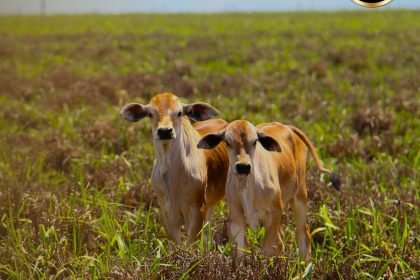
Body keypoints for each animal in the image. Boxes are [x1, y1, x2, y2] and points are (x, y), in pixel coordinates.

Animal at [198, 120, 342, 258]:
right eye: (227, 142)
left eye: (255, 141)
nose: (243, 167)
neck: (248, 187)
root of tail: (285, 126)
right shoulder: (236, 217)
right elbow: (242, 250)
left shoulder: (274, 213)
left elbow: (269, 249)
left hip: (300, 197)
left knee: (302, 234)